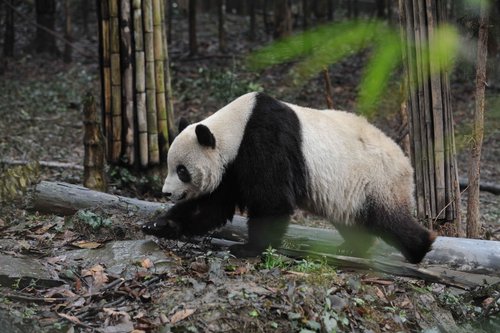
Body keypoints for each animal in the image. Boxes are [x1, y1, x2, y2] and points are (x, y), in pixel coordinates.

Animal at [143, 92, 436, 264]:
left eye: (182, 170)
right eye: (171, 167)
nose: (166, 192)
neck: (234, 128)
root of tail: (406, 162)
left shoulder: (265, 141)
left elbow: (272, 201)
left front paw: (249, 249)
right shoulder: (231, 168)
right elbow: (213, 206)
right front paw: (160, 224)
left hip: (376, 179)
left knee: (387, 219)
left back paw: (419, 249)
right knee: (353, 219)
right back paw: (352, 248)